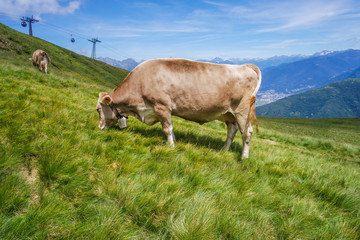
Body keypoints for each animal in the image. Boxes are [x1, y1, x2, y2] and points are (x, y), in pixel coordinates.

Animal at [95, 58, 262, 158]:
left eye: (98, 109)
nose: (99, 127)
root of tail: (245, 66)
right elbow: (171, 127)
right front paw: (174, 141)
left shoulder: (161, 106)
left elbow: (167, 129)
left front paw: (171, 147)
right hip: (229, 114)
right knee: (232, 131)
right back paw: (224, 150)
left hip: (242, 111)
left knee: (247, 133)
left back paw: (244, 157)